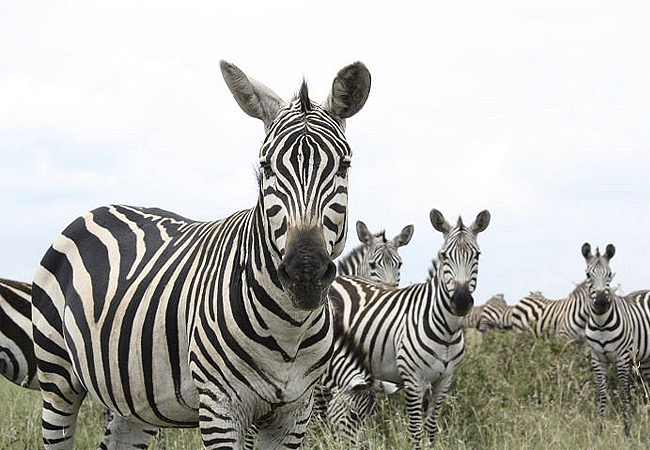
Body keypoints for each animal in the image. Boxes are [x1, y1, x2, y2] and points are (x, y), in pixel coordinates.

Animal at [30, 60, 372, 450]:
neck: (290, 329)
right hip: (57, 375)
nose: (305, 273)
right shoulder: (221, 407)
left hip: (130, 398)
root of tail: (97, 209)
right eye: (266, 167)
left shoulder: (294, 413)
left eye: (344, 166)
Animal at [322, 209, 486, 448]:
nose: (462, 301)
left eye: (477, 255)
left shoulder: (444, 380)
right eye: (444, 256)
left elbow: (431, 426)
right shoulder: (413, 379)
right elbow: (415, 429)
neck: (447, 329)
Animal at [580, 243, 648, 436]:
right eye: (588, 275)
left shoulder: (623, 358)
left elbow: (624, 393)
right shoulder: (597, 359)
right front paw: (600, 429)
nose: (602, 302)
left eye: (609, 274)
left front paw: (627, 431)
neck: (601, 324)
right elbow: (602, 393)